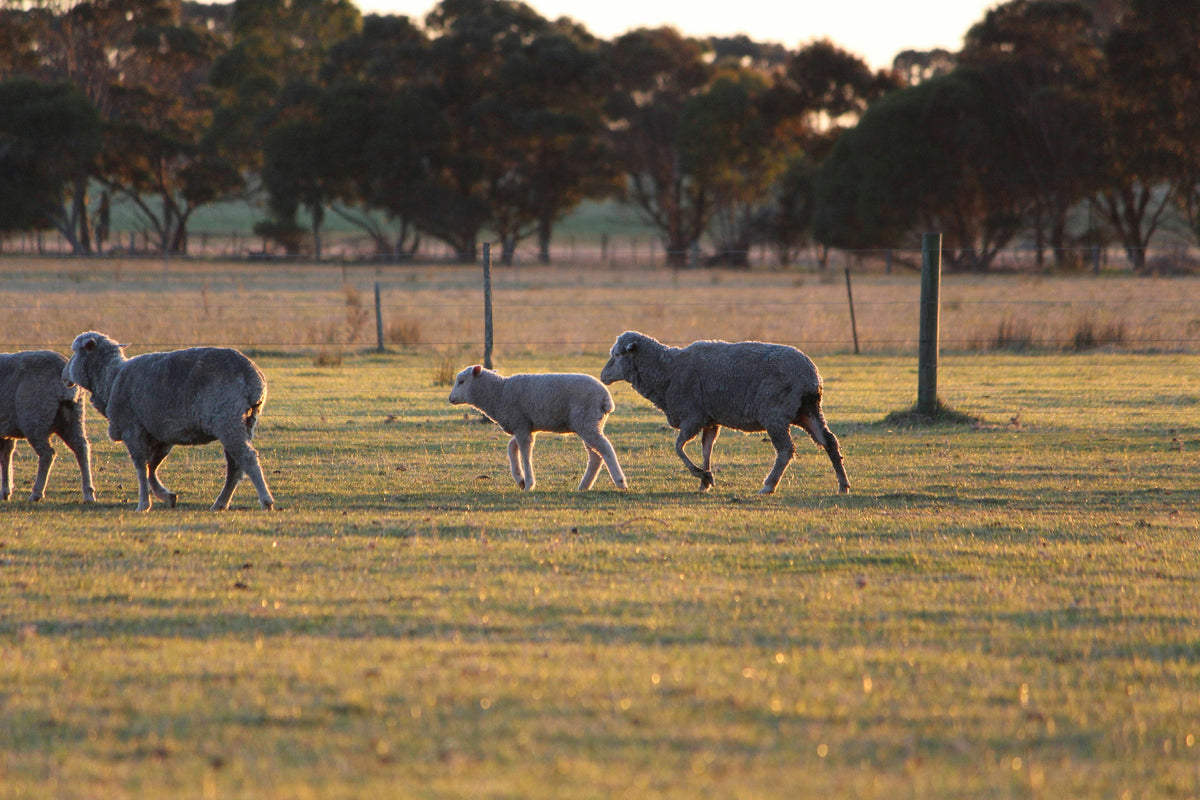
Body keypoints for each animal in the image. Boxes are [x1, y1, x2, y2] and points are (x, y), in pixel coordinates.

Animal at [0, 350, 95, 503]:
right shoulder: (6, 429)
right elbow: (6, 455)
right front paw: (5, 491)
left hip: (34, 418)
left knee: (47, 454)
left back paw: (36, 493)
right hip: (73, 415)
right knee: (82, 447)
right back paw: (88, 493)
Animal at [63, 332, 274, 512]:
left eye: (75, 351)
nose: (64, 375)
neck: (110, 379)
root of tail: (254, 378)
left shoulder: (133, 429)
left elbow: (141, 467)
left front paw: (143, 504)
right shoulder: (161, 435)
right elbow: (152, 467)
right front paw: (167, 496)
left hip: (228, 420)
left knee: (247, 457)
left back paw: (265, 501)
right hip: (245, 422)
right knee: (235, 465)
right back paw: (220, 504)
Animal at [449, 365, 627, 491]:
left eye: (461, 381)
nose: (450, 399)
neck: (498, 393)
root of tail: (606, 399)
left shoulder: (521, 425)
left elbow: (525, 454)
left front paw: (528, 484)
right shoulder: (523, 425)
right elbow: (511, 447)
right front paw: (520, 479)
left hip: (587, 421)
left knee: (605, 448)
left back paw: (620, 481)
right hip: (589, 423)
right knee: (596, 455)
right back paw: (584, 486)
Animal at [600, 331, 850, 495]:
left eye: (618, 354)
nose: (603, 376)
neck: (667, 370)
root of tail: (811, 376)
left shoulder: (693, 417)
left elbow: (678, 448)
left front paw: (702, 475)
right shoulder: (710, 421)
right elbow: (706, 449)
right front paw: (706, 481)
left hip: (775, 414)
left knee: (786, 450)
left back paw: (769, 485)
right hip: (807, 411)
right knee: (829, 441)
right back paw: (843, 484)